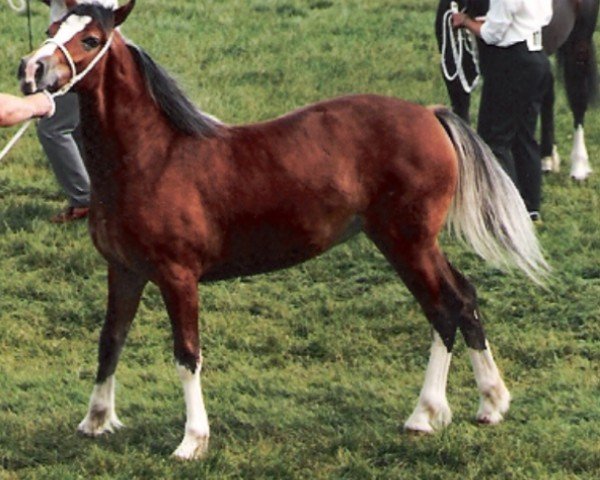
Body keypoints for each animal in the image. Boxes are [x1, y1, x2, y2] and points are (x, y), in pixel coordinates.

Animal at [436, 0, 600, 180]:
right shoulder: (456, 73)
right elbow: (462, 120)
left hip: (579, 46)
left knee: (578, 100)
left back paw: (579, 167)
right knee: (548, 94)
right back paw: (547, 158)